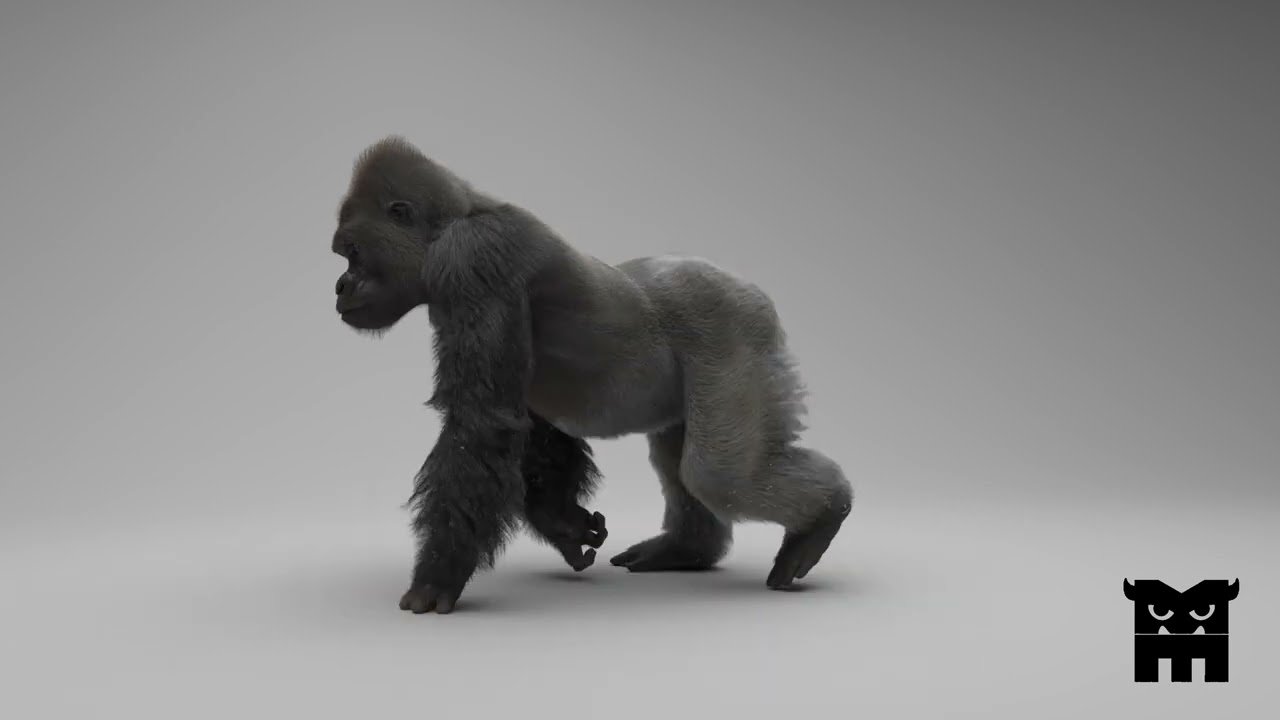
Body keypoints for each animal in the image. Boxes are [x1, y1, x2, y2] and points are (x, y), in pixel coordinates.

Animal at [331, 136, 854, 614]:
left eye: (352, 252)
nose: (340, 286)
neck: (457, 216)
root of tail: (750, 287)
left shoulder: (472, 259)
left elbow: (483, 424)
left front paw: (438, 574)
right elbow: (526, 425)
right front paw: (562, 523)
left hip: (738, 327)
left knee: (719, 473)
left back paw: (825, 514)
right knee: (683, 457)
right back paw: (687, 548)